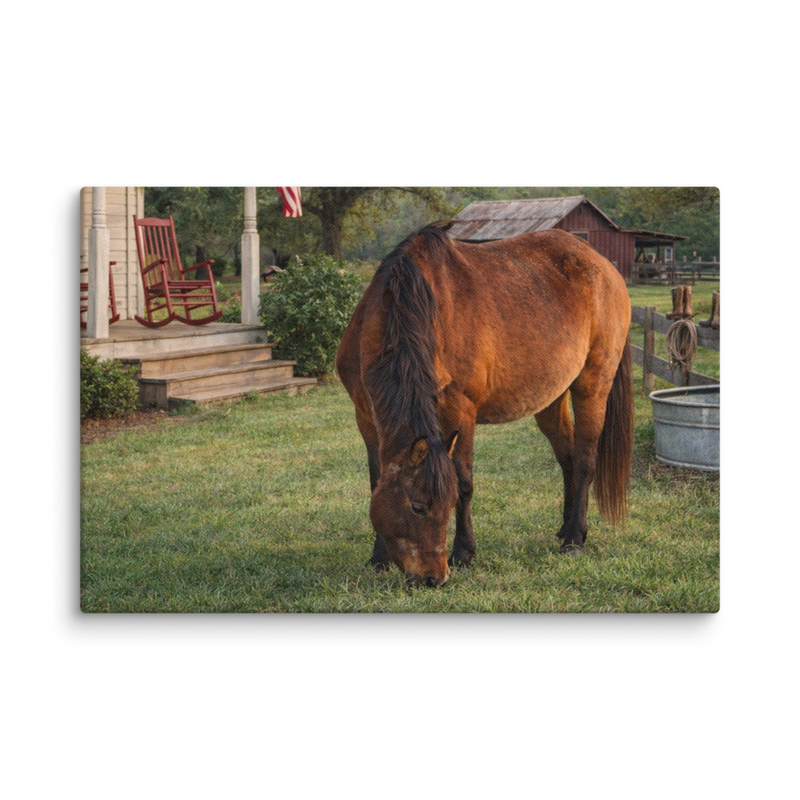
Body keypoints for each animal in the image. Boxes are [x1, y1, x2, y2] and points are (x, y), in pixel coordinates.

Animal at [336, 223, 633, 587]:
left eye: (445, 504)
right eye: (417, 506)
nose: (434, 577)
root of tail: (604, 267)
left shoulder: (460, 410)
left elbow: (464, 482)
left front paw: (463, 553)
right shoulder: (365, 416)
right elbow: (376, 481)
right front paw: (379, 558)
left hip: (592, 386)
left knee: (586, 459)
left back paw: (575, 537)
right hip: (552, 398)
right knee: (568, 458)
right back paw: (564, 529)